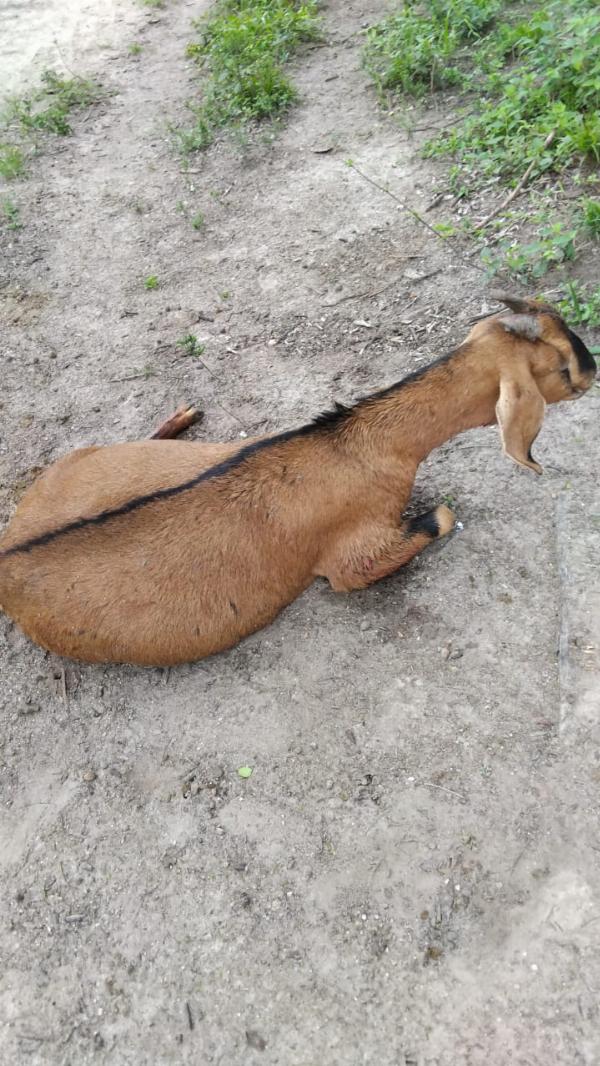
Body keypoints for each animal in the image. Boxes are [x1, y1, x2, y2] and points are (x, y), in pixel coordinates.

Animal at [0, 294, 596, 666]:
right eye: (561, 366)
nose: (593, 370)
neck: (355, 444)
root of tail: (7, 552)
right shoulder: (353, 555)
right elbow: (436, 521)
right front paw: (441, 511)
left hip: (89, 459)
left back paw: (182, 416)